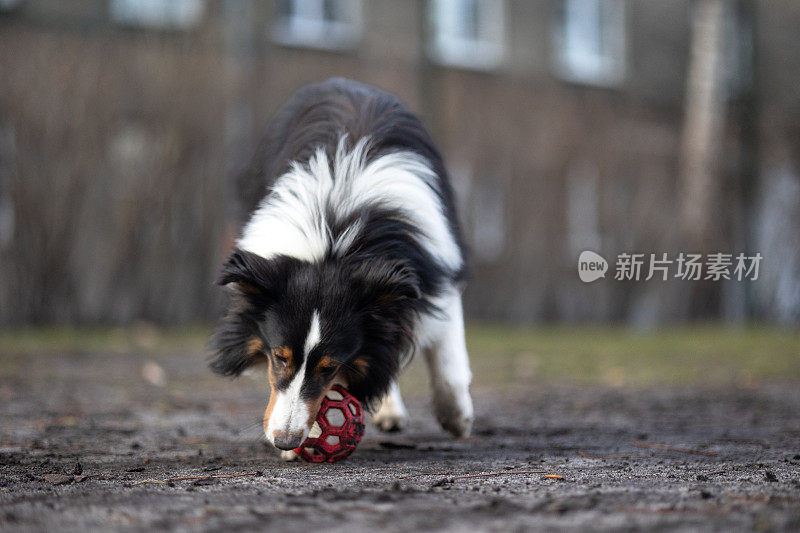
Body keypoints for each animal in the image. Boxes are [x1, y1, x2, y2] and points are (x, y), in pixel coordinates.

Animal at [212, 78, 472, 458]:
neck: (336, 233)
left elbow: (446, 355)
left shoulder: (436, 273)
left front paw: (456, 418)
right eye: (278, 357)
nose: (285, 439)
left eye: (330, 367)